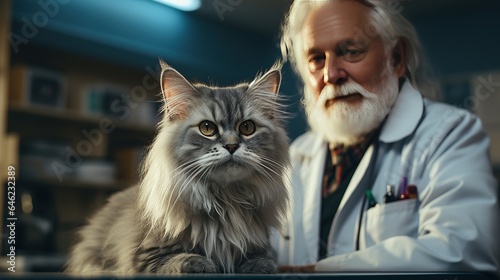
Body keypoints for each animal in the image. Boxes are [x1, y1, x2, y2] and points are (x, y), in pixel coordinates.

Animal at [64, 60, 290, 274]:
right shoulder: (144, 255)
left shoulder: (262, 247)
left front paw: (257, 266)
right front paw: (201, 263)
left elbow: (264, 260)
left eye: (247, 128)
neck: (226, 201)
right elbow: (178, 260)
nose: (232, 146)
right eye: (207, 128)